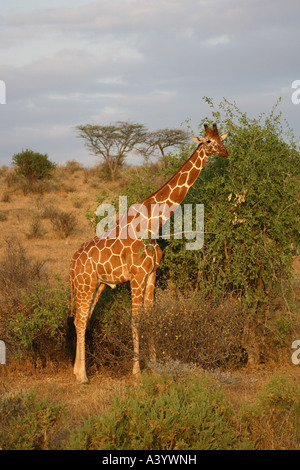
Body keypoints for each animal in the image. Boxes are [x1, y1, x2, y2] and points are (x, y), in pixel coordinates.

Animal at [70, 124, 229, 382]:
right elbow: (135, 320)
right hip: (85, 284)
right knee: (81, 319)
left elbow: (150, 316)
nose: (224, 151)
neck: (154, 223)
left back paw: (77, 371)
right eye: (207, 140)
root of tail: (72, 263)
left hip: (96, 285)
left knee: (81, 319)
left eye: (221, 139)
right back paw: (83, 376)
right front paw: (136, 372)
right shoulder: (136, 276)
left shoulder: (152, 273)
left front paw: (154, 364)